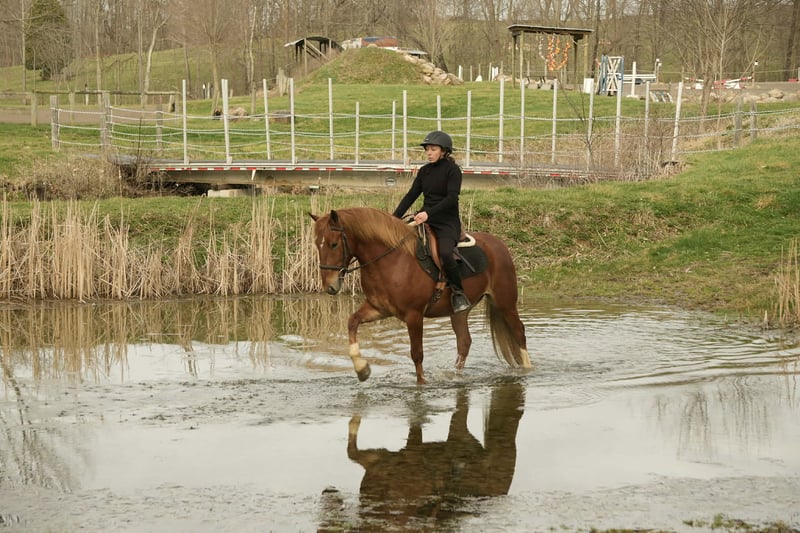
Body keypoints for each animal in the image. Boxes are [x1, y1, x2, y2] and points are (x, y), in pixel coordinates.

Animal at [309, 207, 532, 384]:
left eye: (333, 244)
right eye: (317, 244)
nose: (330, 286)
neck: (391, 261)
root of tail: (499, 244)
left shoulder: (414, 315)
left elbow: (417, 354)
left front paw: (421, 385)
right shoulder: (378, 309)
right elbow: (352, 322)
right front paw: (362, 369)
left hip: (505, 303)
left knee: (519, 332)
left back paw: (528, 369)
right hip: (460, 311)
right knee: (464, 342)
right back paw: (456, 375)